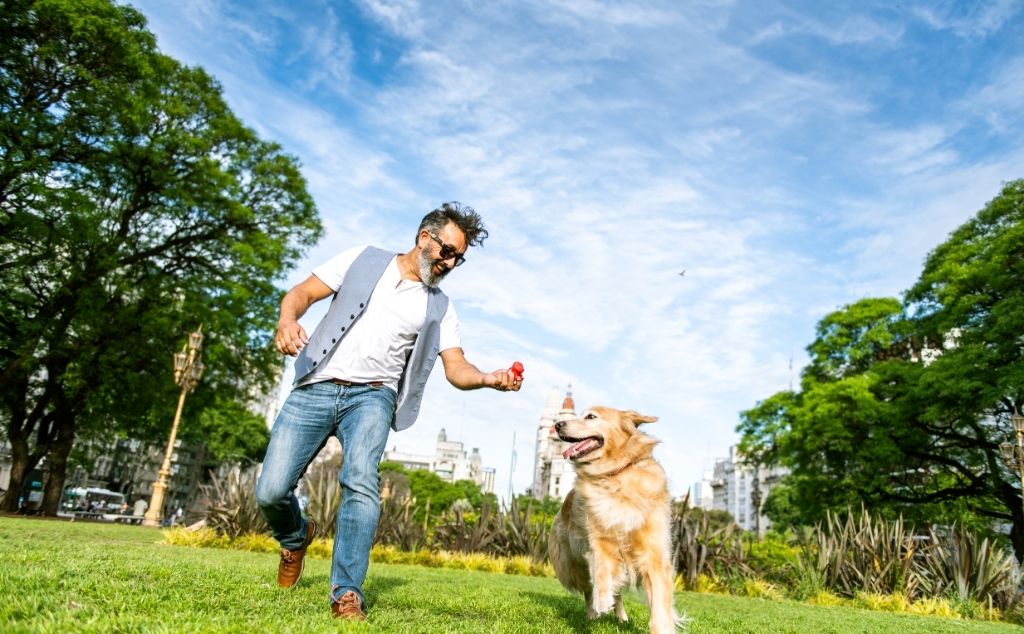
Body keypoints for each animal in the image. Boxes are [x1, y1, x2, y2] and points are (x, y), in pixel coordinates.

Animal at [548, 409, 684, 630]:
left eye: (591, 416)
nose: (558, 424)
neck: (614, 475)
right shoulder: (598, 541)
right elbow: (601, 571)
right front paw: (602, 601)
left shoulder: (654, 554)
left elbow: (659, 603)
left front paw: (661, 627)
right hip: (572, 560)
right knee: (589, 588)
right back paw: (593, 613)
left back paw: (621, 617)